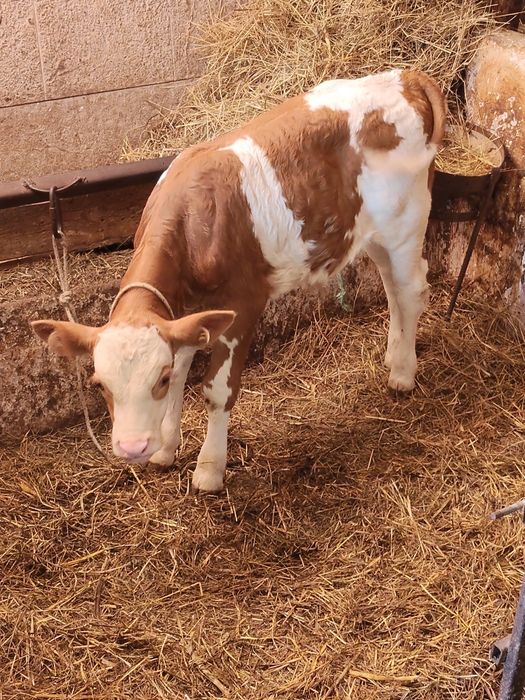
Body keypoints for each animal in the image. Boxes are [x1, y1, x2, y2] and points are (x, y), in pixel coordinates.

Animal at [32, 69, 446, 493]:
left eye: (157, 379)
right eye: (99, 384)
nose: (134, 447)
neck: (189, 223)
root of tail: (406, 76)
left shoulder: (242, 303)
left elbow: (216, 390)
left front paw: (208, 469)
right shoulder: (183, 315)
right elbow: (184, 370)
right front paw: (167, 449)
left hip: (407, 220)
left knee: (411, 290)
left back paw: (402, 374)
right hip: (371, 232)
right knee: (392, 286)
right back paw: (393, 354)